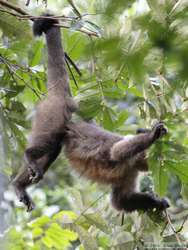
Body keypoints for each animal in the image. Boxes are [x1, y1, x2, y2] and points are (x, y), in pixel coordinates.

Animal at [12, 14, 170, 213]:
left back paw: (19, 185)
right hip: (53, 113)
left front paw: (158, 202)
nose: (155, 165)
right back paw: (30, 156)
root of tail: (63, 98)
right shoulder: (131, 157)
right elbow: (116, 151)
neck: (136, 162)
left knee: (54, 148)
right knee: (50, 139)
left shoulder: (132, 171)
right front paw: (153, 134)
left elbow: (121, 201)